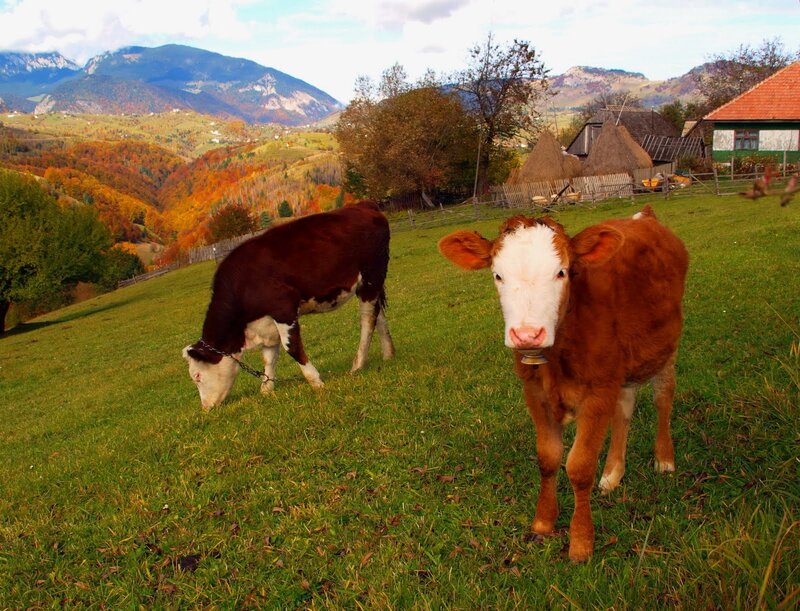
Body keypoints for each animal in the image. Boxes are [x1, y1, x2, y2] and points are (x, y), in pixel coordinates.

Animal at [183, 201, 395, 410]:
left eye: (197, 376)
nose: (206, 408)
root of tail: (364, 205)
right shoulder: (266, 324)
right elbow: (268, 357)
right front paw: (266, 388)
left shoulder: (283, 309)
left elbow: (292, 348)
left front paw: (316, 382)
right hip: (370, 284)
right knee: (378, 314)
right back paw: (388, 354)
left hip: (371, 275)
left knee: (367, 319)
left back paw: (358, 364)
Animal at [438, 205, 688, 561]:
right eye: (497, 275)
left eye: (562, 272)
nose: (527, 334)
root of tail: (645, 216)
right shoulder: (535, 392)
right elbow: (548, 458)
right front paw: (544, 522)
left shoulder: (598, 390)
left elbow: (579, 467)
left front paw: (581, 541)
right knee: (624, 409)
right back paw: (612, 473)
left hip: (666, 345)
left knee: (663, 396)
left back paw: (664, 458)